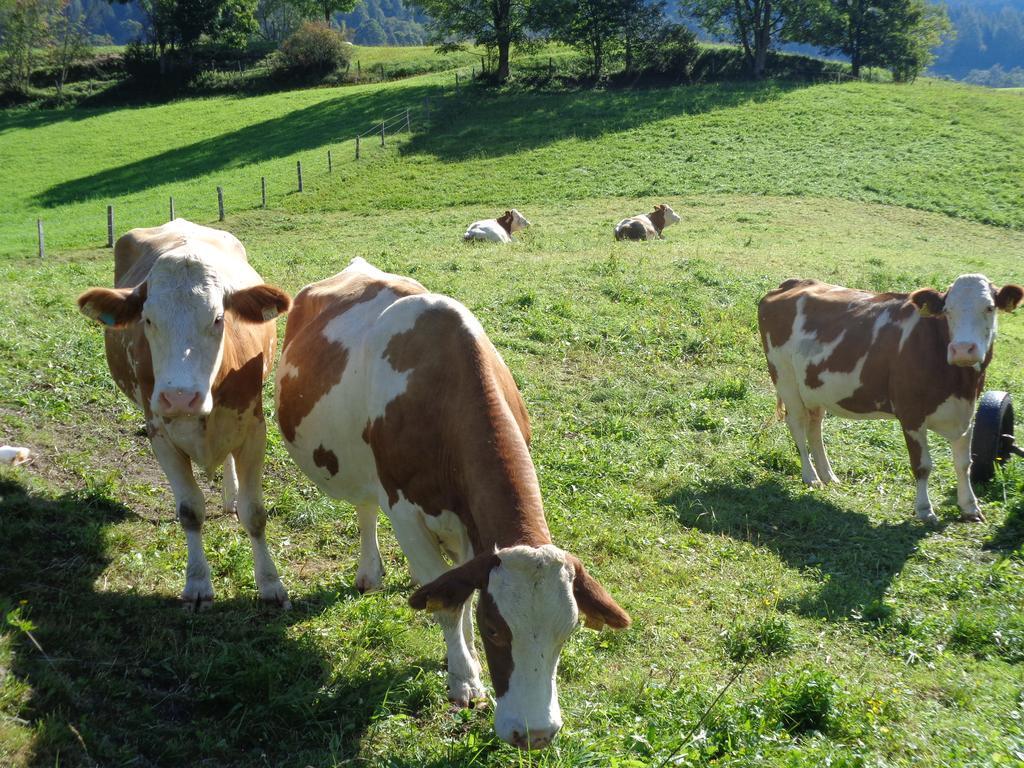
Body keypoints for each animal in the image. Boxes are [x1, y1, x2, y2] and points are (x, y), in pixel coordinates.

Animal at [76, 219, 288, 610]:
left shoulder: (254, 429)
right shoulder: (160, 434)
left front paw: (270, 584)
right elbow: (190, 511)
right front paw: (198, 583)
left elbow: (255, 513)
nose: (179, 397)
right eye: (147, 319)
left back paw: (231, 498)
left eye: (218, 318)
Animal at [272, 259, 626, 753]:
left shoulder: (472, 525)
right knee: (365, 505)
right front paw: (464, 678)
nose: (536, 734)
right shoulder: (405, 511)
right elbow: (446, 601)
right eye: (497, 628)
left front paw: (469, 657)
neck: (443, 386)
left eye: (569, 630)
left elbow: (462, 586)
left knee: (365, 505)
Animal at [757, 274, 1019, 524]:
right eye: (947, 310)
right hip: (785, 378)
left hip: (814, 387)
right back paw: (811, 476)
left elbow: (964, 464)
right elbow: (922, 465)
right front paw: (924, 510)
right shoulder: (911, 414)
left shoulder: (966, 413)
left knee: (815, 426)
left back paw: (828, 475)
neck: (959, 382)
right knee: (797, 424)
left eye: (989, 308)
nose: (963, 349)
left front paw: (970, 508)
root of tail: (794, 283)